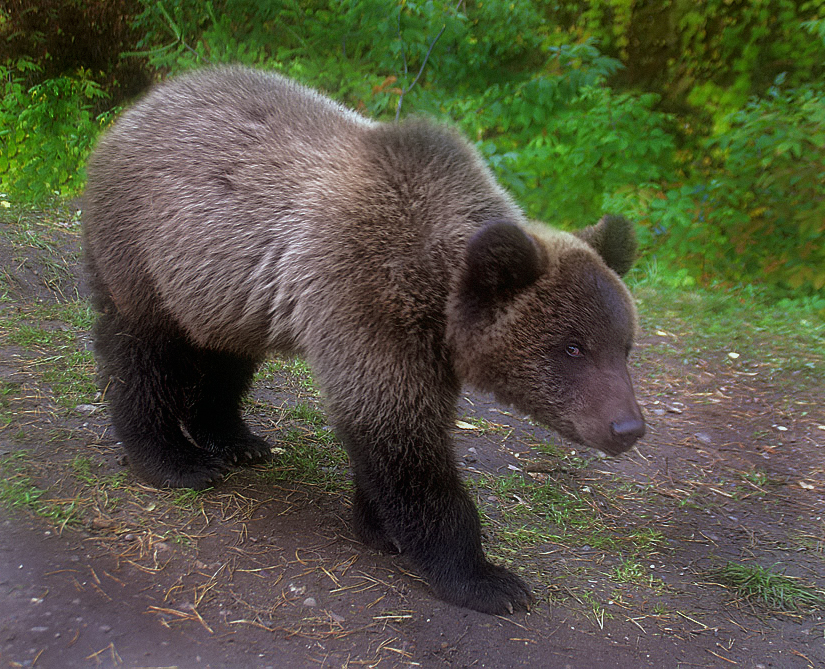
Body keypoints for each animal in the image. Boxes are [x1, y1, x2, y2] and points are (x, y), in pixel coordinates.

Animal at [82, 68, 644, 616]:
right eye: (573, 347)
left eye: (625, 345)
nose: (628, 427)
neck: (433, 291)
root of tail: (143, 103)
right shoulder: (366, 302)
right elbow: (405, 447)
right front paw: (486, 579)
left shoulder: (413, 342)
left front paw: (379, 526)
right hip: (146, 251)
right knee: (143, 354)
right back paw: (174, 459)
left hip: (224, 293)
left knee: (228, 359)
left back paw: (235, 439)